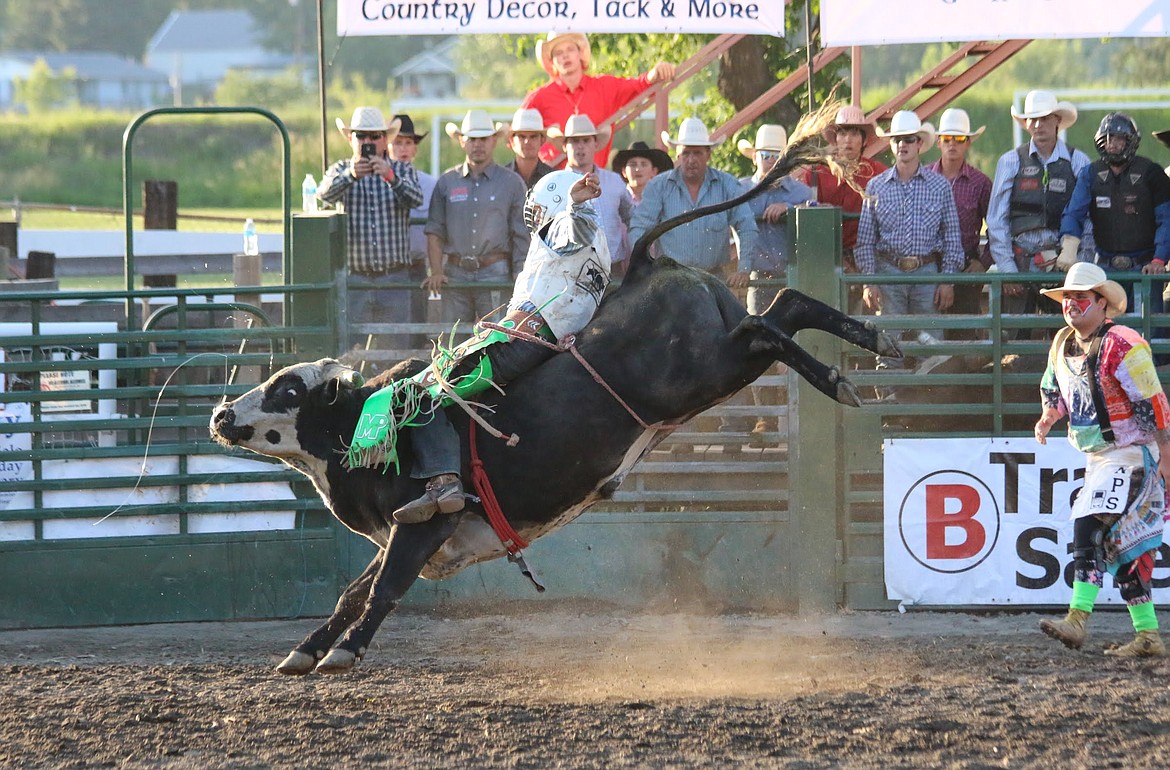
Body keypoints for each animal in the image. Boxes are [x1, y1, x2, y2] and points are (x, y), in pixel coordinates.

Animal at [210, 103, 898, 674]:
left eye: (287, 392)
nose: (220, 414)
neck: (364, 427)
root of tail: (641, 265)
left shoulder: (425, 528)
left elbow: (383, 587)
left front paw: (344, 652)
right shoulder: (408, 537)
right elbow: (354, 590)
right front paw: (305, 650)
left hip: (707, 367)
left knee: (768, 325)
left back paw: (841, 377)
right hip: (721, 362)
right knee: (786, 307)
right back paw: (868, 346)